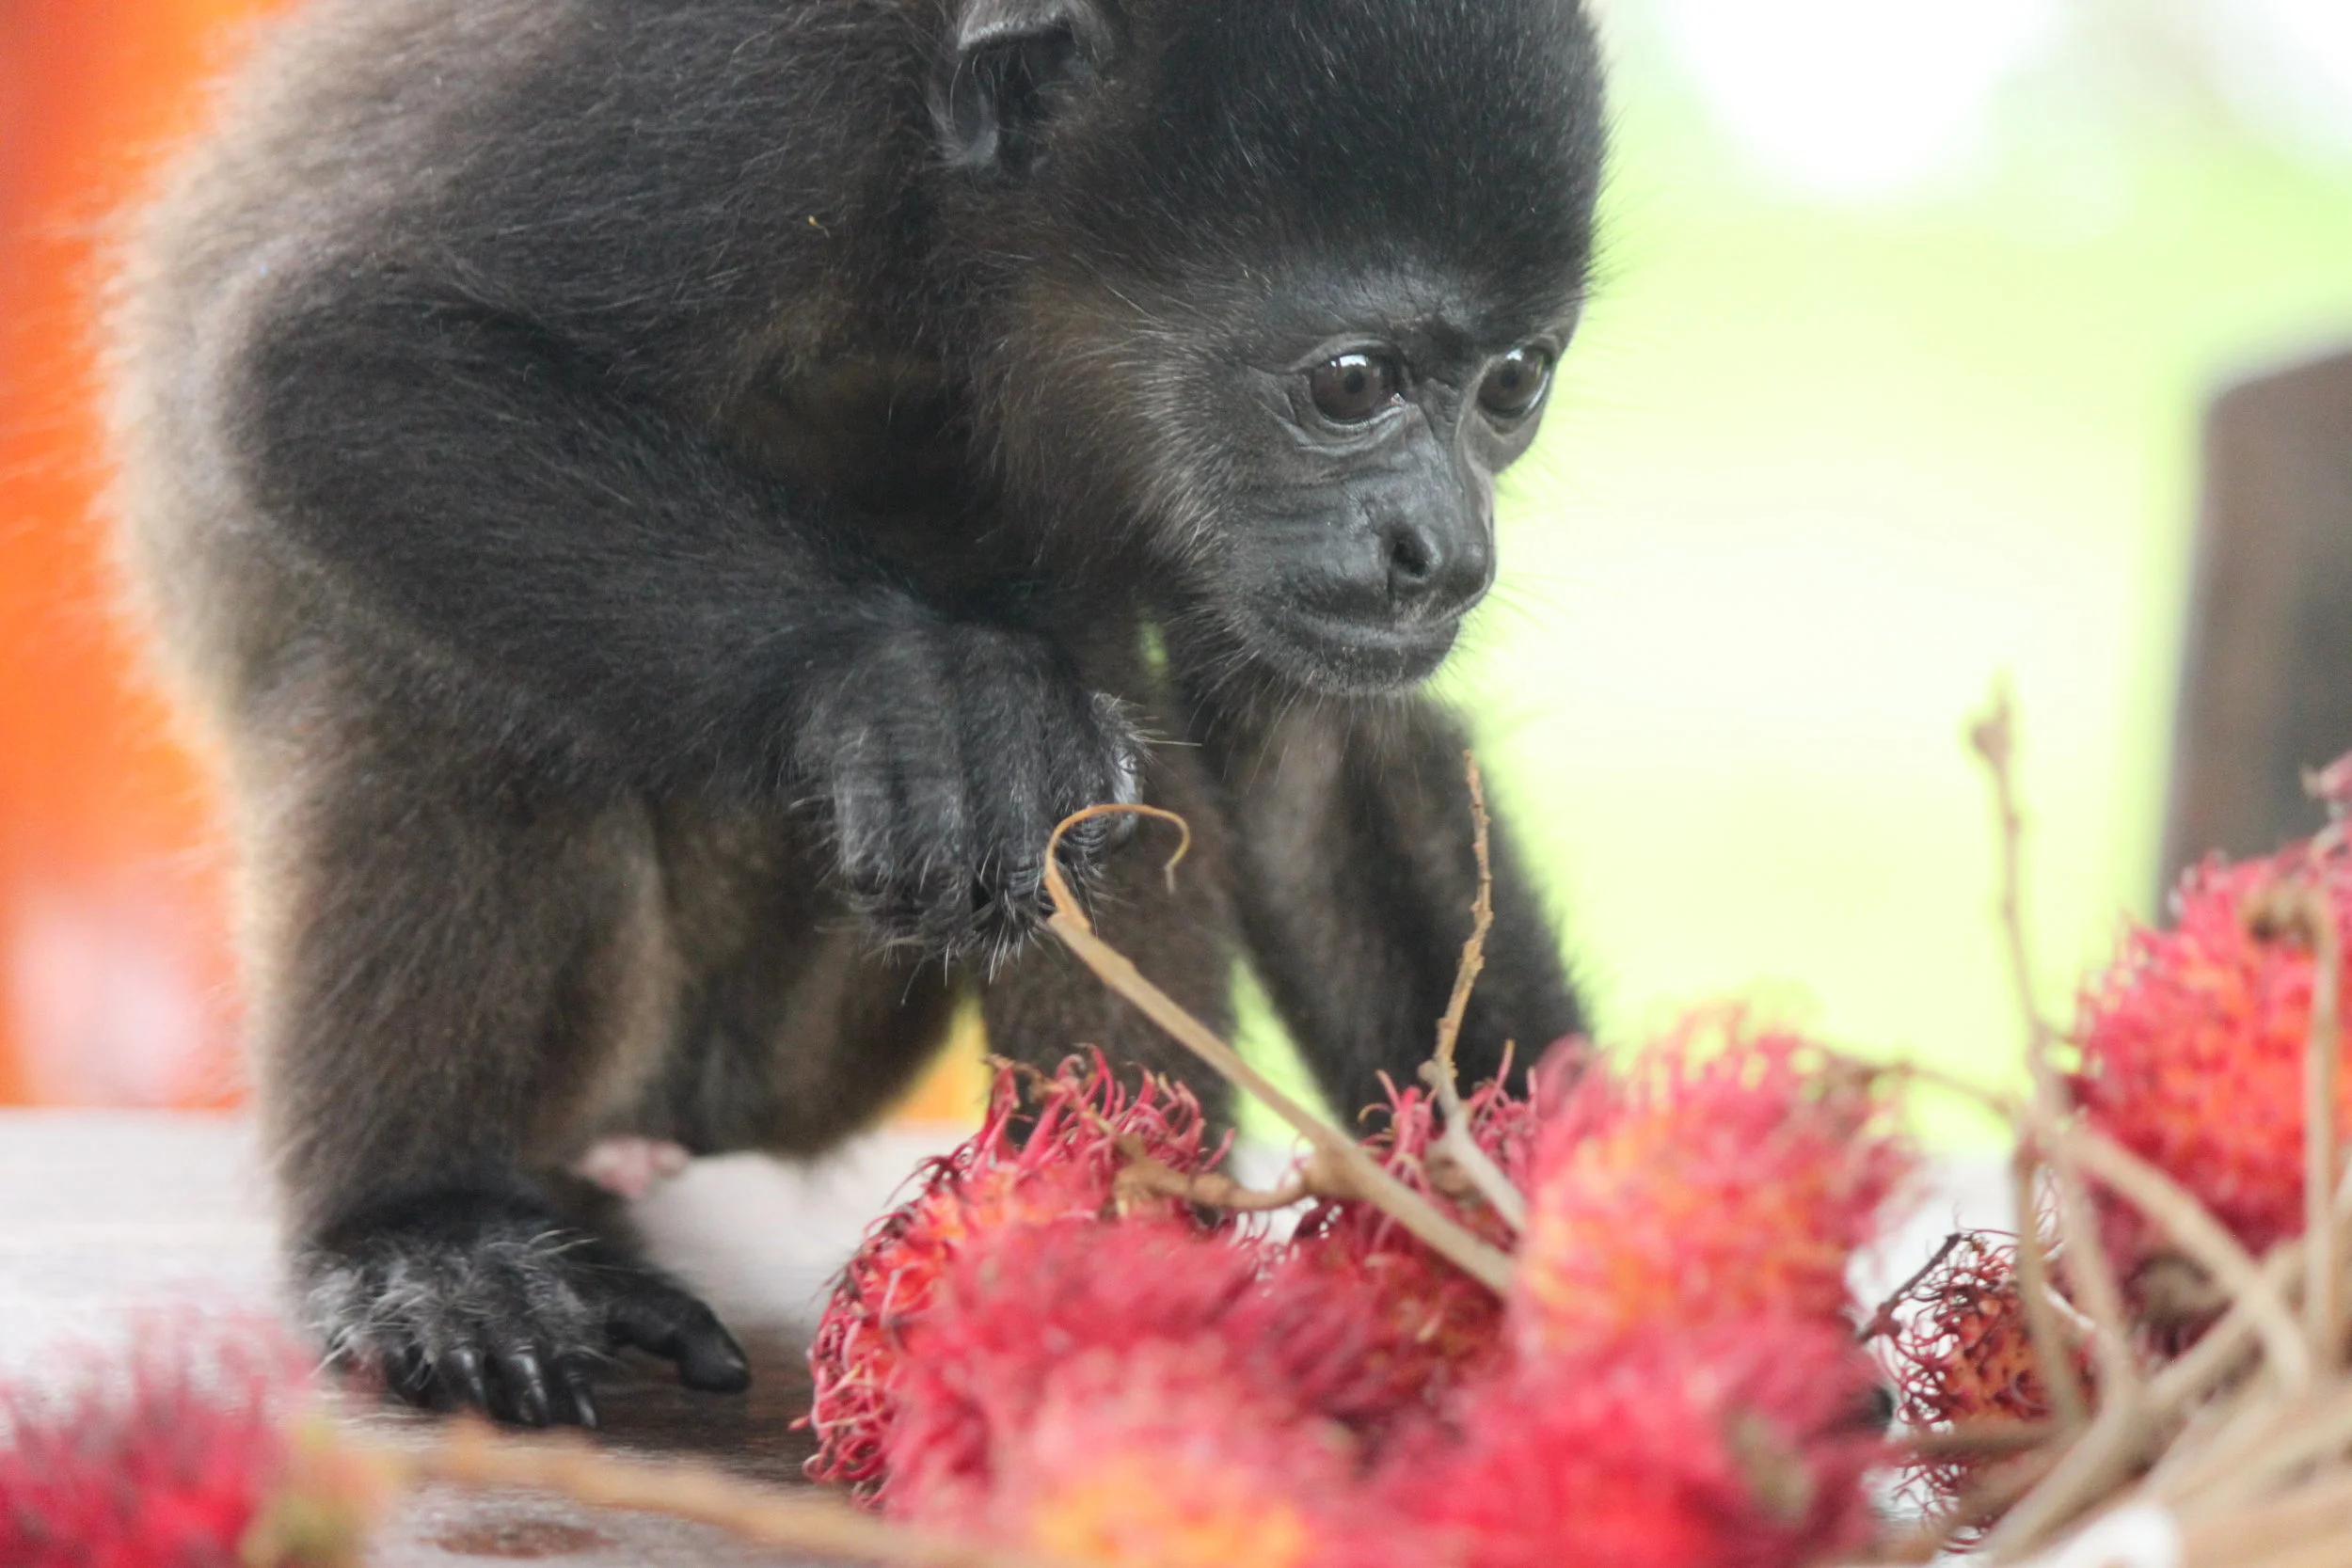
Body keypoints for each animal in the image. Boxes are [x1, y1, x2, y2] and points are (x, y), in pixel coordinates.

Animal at [105, 0, 1605, 1427]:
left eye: (1514, 384)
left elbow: (1314, 763)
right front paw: (896, 686)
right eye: (1351, 382)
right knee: (436, 676)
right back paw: (426, 1235)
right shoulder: (742, 98)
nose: (1446, 555)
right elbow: (331, 353)